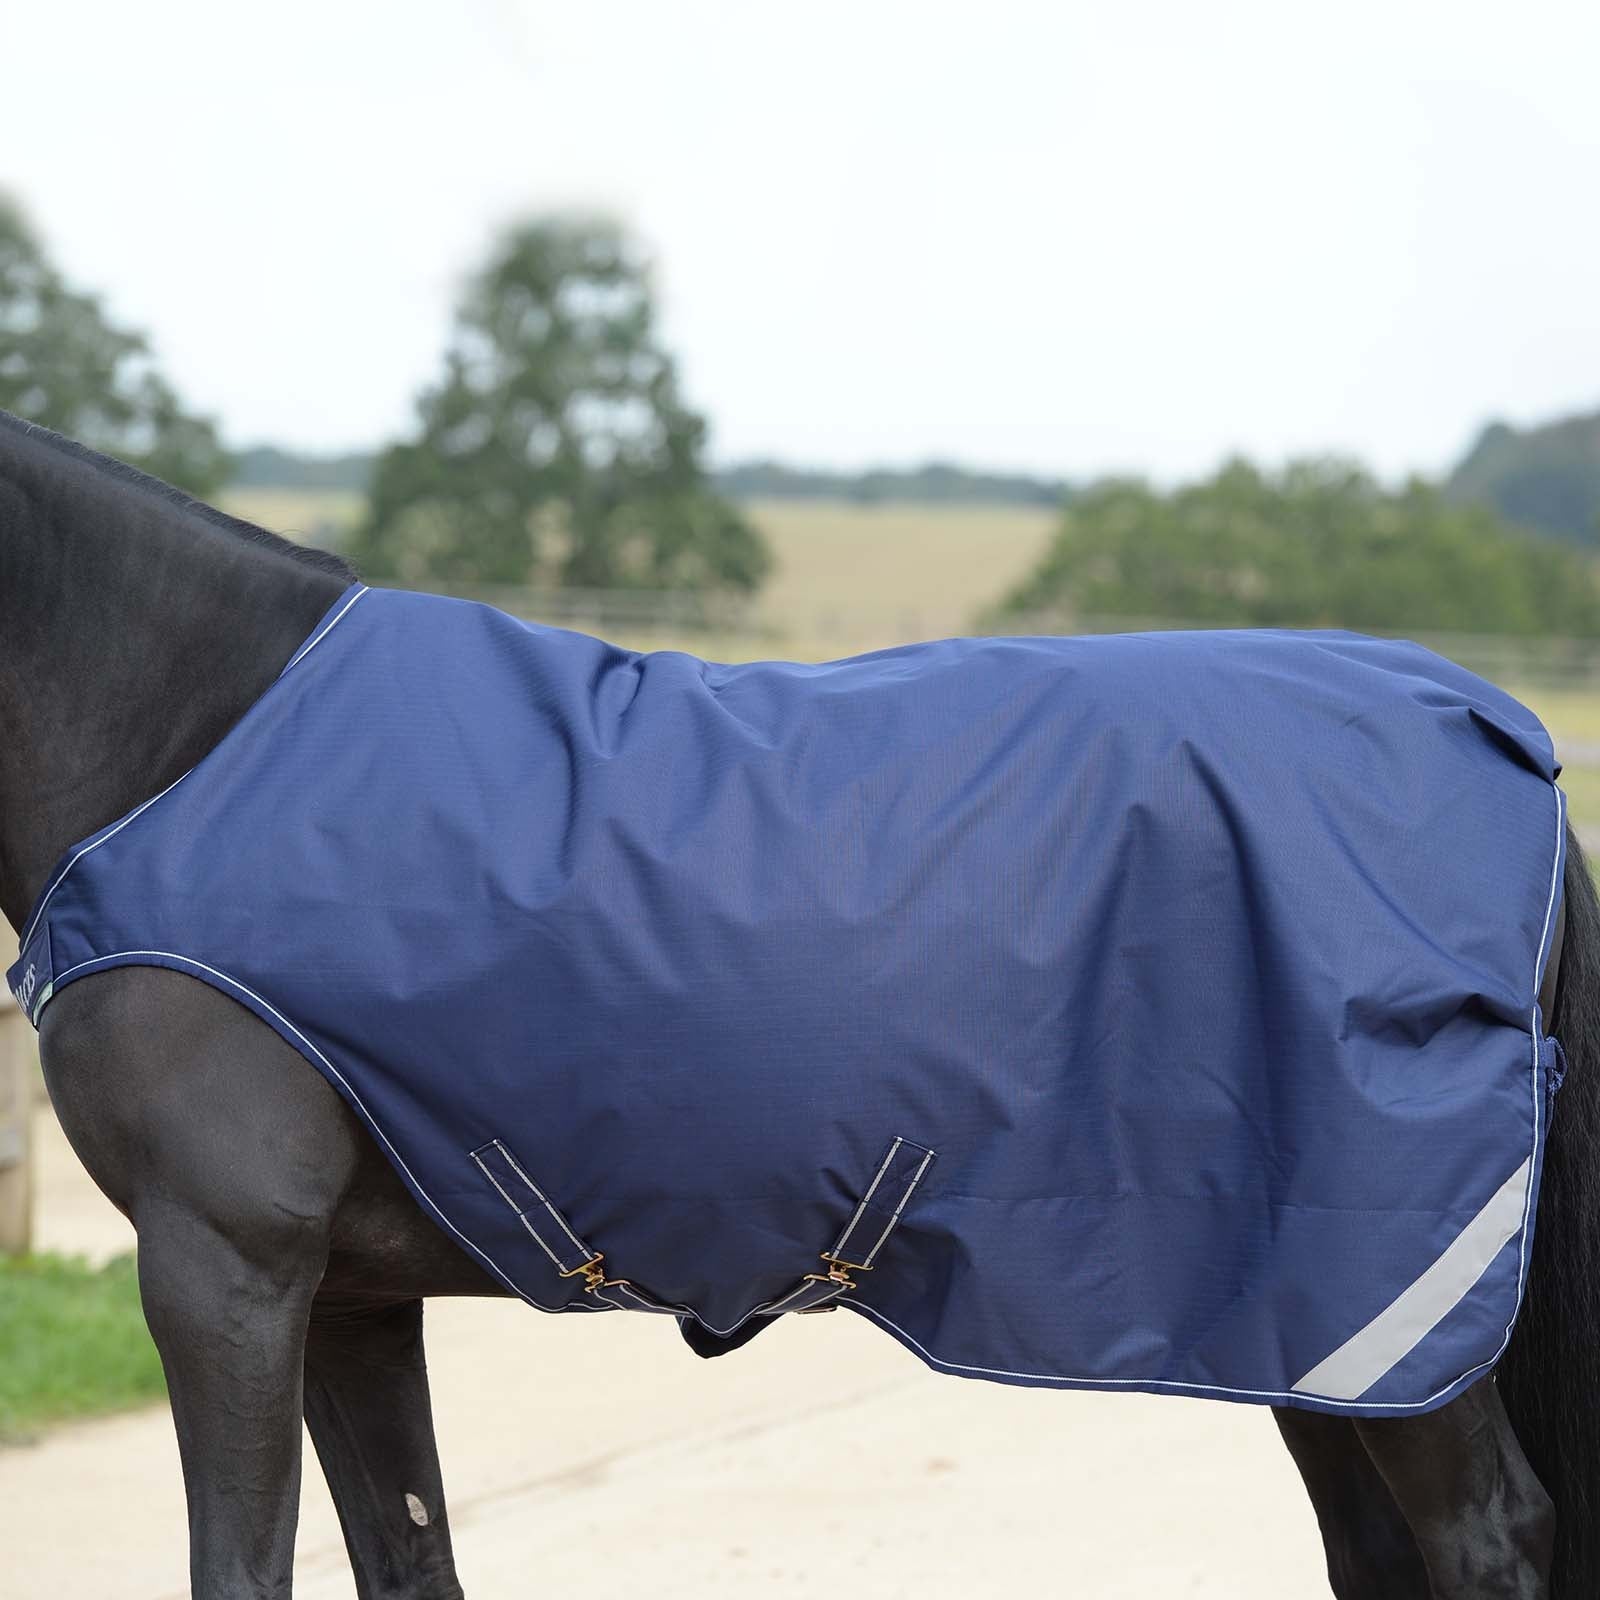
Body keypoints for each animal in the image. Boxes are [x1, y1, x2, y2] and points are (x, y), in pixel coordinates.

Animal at [2, 405, 1597, 1600]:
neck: (194, 741)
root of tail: (1504, 733)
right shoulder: (348, 1292)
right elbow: (409, 1559)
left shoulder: (226, 1267)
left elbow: (242, 1566)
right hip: (1301, 1323)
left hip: (1392, 1302)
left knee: (1487, 1537)